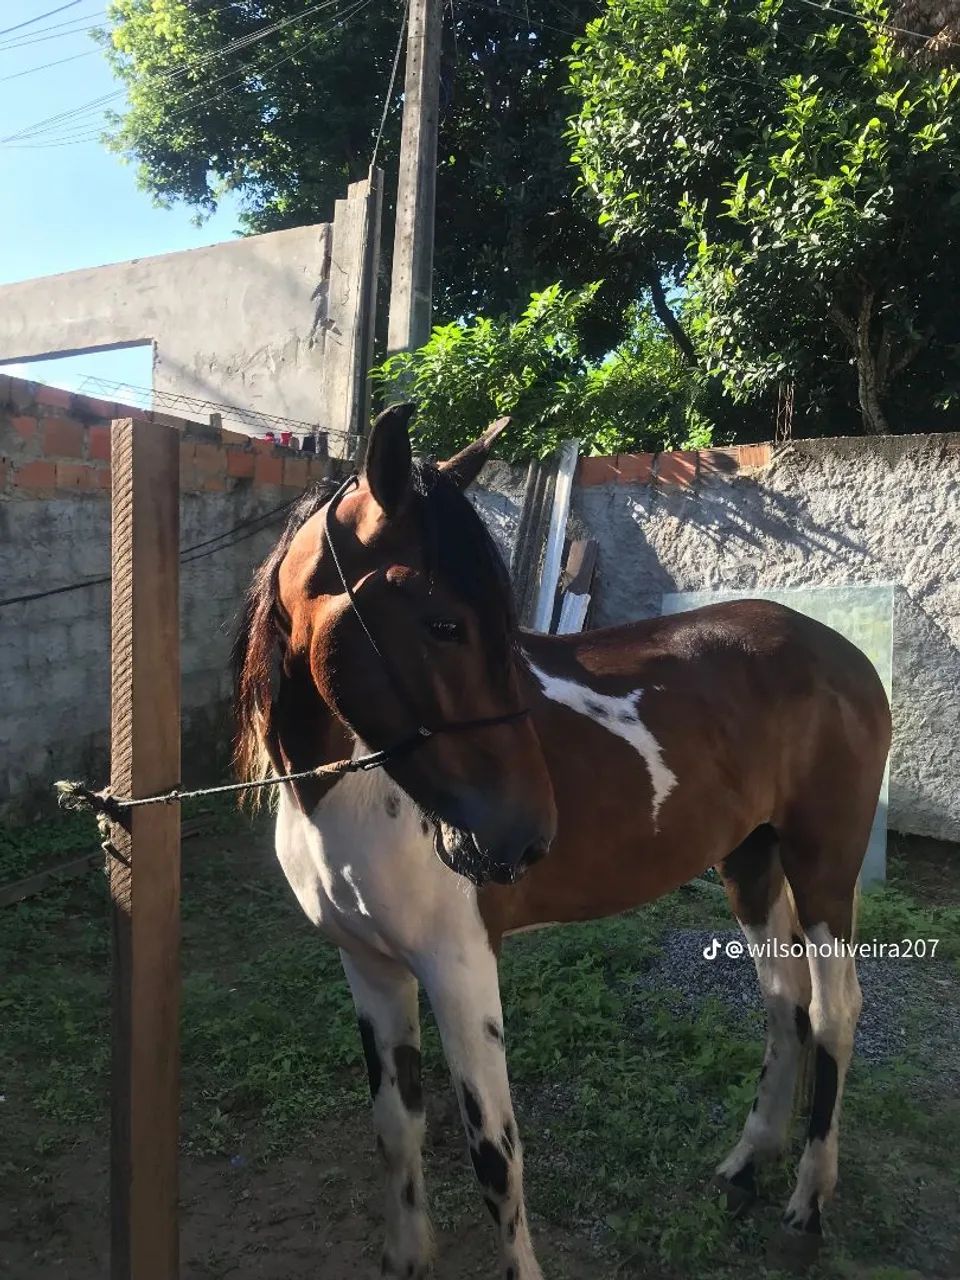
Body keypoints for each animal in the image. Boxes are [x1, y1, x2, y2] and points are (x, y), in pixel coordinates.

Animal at [232, 403, 891, 1279]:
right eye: (443, 623)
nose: (522, 835)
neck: (352, 794)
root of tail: (845, 655)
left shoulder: (460, 968)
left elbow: (494, 1158)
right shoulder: (369, 968)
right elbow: (396, 1132)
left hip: (823, 866)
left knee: (835, 1011)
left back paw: (808, 1202)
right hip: (749, 863)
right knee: (784, 1003)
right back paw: (748, 1163)